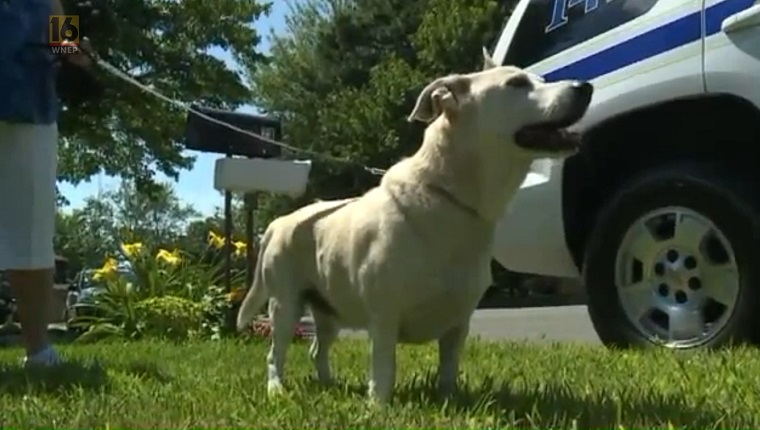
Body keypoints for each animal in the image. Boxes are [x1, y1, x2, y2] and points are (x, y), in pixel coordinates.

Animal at [238, 51, 592, 404]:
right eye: (516, 83)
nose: (584, 86)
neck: (448, 199)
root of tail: (279, 223)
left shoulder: (458, 324)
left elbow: (448, 368)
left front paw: (448, 400)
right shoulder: (384, 316)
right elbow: (384, 368)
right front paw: (378, 406)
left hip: (328, 310)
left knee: (317, 349)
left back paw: (328, 383)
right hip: (285, 305)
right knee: (275, 354)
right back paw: (276, 389)